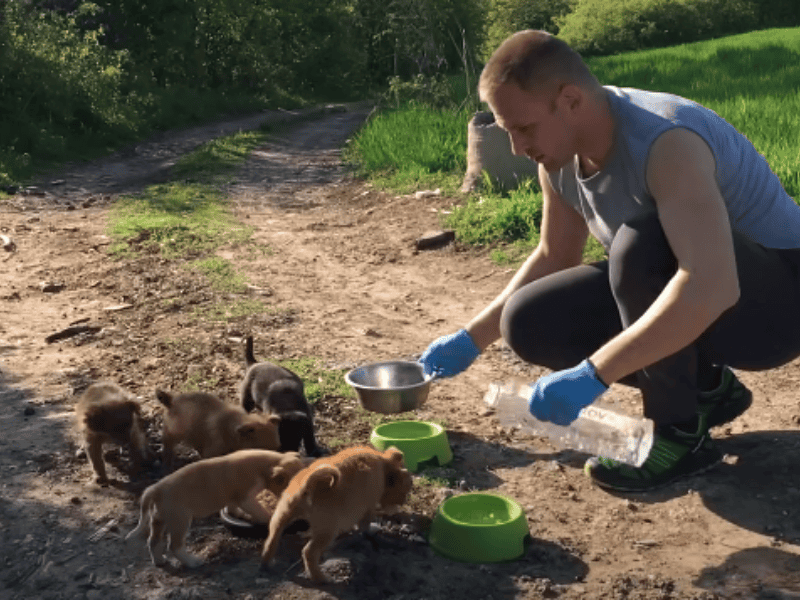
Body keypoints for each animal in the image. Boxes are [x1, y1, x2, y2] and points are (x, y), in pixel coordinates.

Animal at [128, 450, 310, 568]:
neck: (264, 465)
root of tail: (156, 489)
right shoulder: (245, 497)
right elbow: (260, 512)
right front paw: (268, 517)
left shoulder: (235, 499)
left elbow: (233, 509)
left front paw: (243, 515)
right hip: (180, 521)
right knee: (174, 546)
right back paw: (194, 562)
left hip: (159, 520)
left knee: (153, 541)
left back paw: (160, 561)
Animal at [260, 446, 412, 580]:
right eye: (405, 489)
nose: (403, 502)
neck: (384, 464)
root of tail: (308, 485)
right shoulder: (366, 508)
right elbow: (363, 526)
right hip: (327, 530)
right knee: (309, 552)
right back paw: (320, 578)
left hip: (281, 515)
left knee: (272, 540)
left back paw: (266, 563)